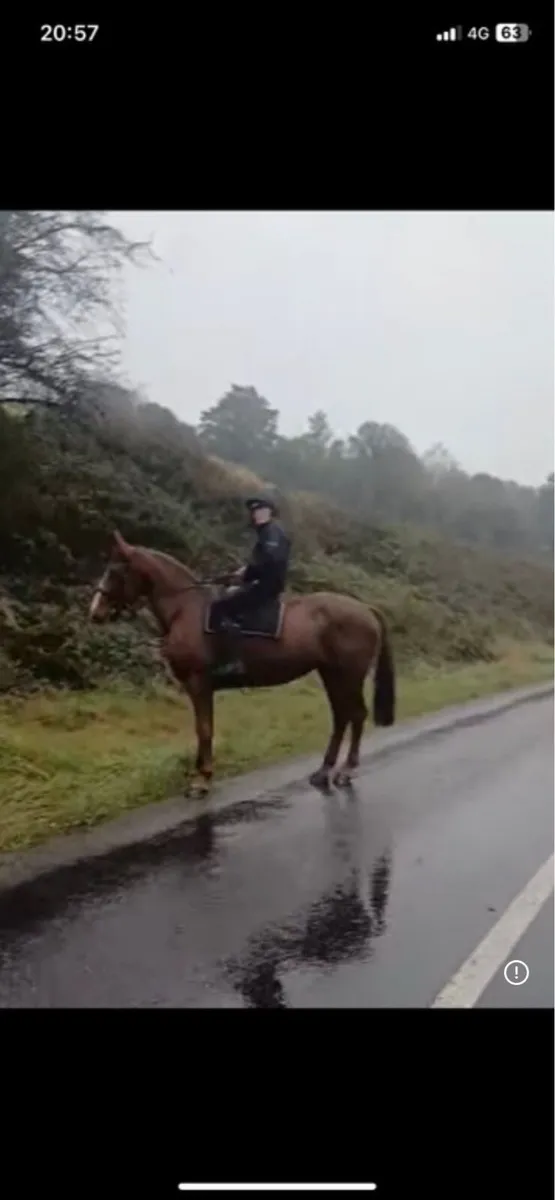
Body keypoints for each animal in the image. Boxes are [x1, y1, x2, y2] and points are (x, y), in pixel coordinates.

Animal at [89, 530, 396, 794]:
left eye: (115, 571)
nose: (95, 612)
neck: (185, 610)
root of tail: (365, 608)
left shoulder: (199, 683)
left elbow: (204, 729)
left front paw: (202, 779)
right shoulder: (199, 687)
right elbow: (202, 728)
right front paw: (201, 772)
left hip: (350, 675)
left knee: (356, 715)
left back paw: (346, 770)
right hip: (331, 674)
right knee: (341, 716)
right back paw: (324, 771)